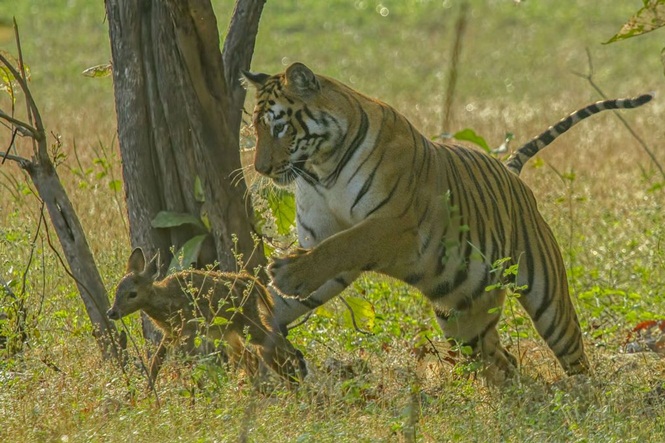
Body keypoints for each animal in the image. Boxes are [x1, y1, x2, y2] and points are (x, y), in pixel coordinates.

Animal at [243, 62, 653, 382]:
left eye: (279, 128)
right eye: (257, 130)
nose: (260, 168)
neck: (322, 169)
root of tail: (510, 169)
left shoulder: (395, 223)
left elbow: (346, 245)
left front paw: (285, 274)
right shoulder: (321, 236)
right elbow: (312, 271)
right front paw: (263, 324)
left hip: (547, 293)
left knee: (574, 354)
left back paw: (581, 398)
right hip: (460, 311)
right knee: (500, 358)